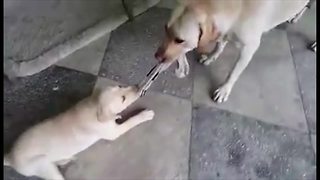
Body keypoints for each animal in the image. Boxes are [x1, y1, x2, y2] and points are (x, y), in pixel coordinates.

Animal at [3, 85, 154, 179]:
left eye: (120, 86)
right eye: (123, 98)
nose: (137, 87)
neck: (94, 106)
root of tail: (10, 157)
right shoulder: (112, 132)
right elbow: (131, 122)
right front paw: (145, 115)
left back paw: (65, 159)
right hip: (42, 166)